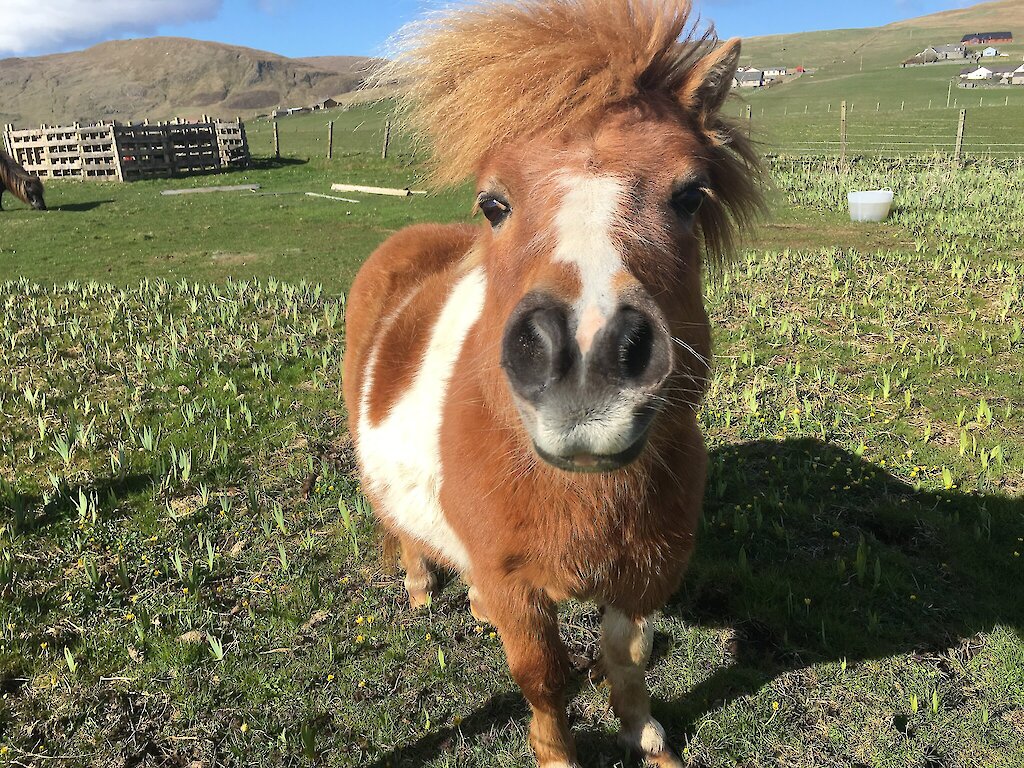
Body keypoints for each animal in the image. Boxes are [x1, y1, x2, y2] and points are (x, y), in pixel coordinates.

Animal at [343, 1, 764, 765]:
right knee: (402, 526)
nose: (588, 359)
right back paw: (420, 587)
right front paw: (558, 751)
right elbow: (543, 677)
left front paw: (646, 736)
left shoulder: (646, 571)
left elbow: (625, 657)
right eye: (493, 202)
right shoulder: (518, 588)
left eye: (691, 195)